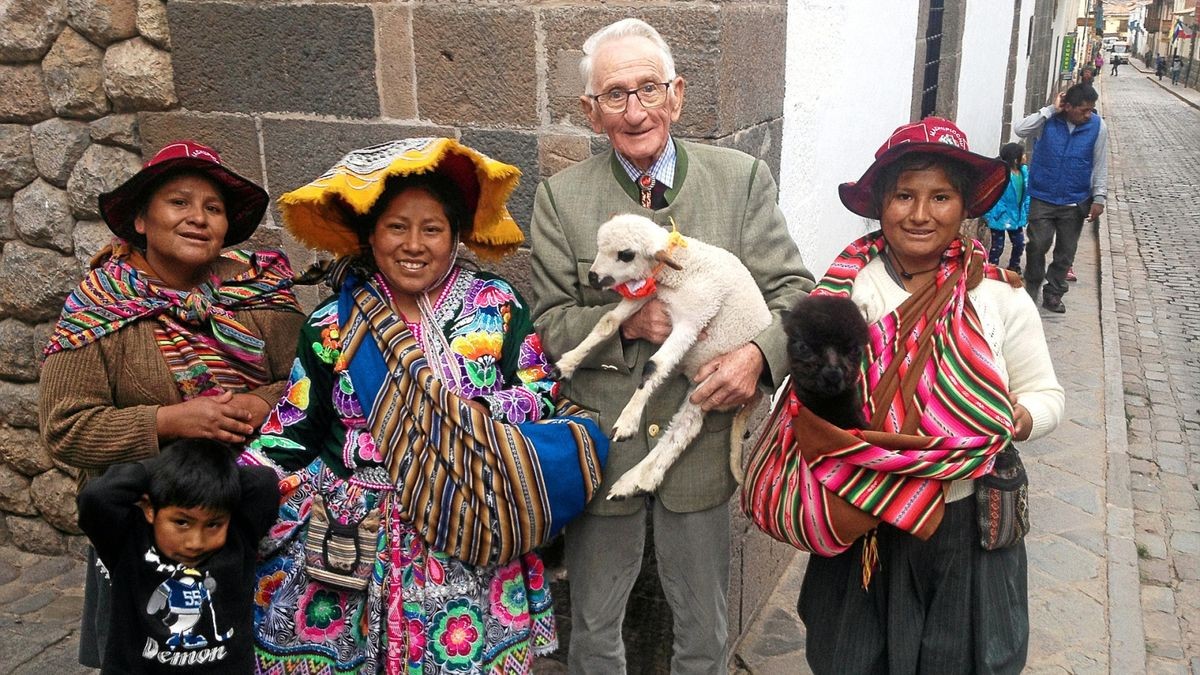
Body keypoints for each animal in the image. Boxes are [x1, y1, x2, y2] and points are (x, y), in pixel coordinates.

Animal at [552, 213, 768, 499]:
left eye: (626, 255)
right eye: (599, 246)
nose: (593, 277)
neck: (680, 270)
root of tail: (757, 392)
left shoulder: (693, 320)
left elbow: (654, 366)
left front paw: (627, 422)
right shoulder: (649, 297)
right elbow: (607, 323)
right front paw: (566, 364)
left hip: (714, 380)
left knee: (685, 428)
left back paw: (638, 479)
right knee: (684, 426)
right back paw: (635, 482)